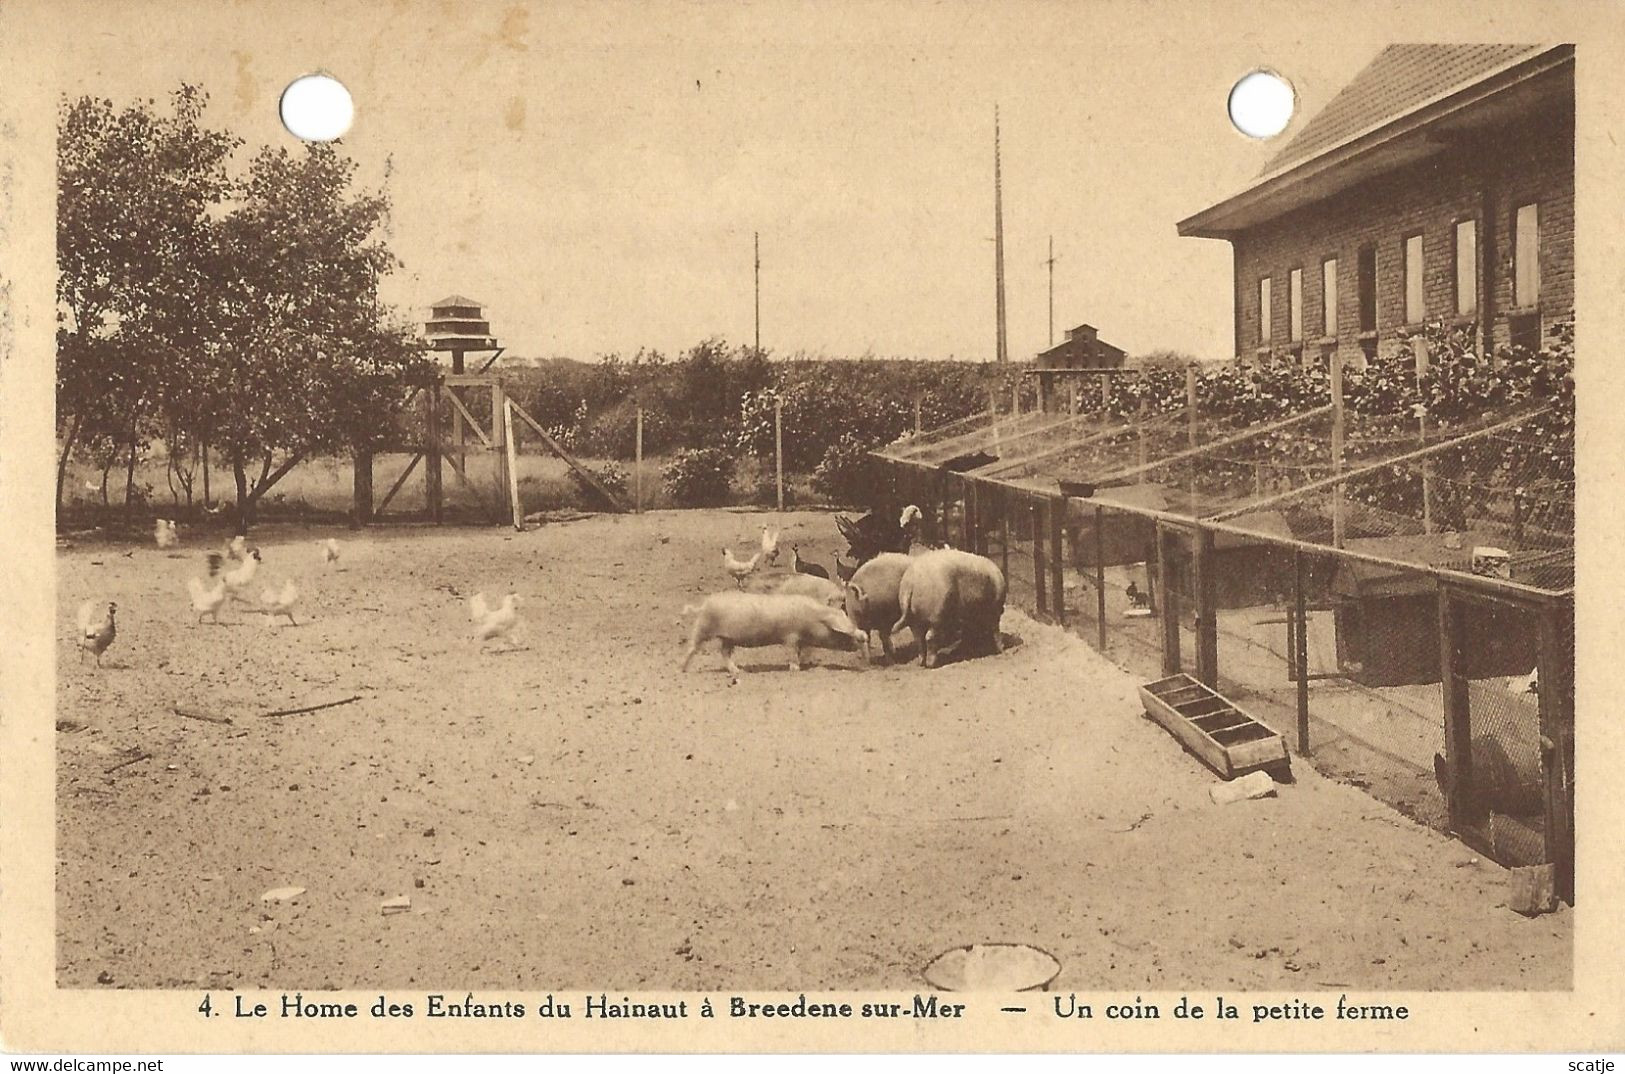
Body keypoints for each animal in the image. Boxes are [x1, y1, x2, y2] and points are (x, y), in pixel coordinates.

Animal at [679, 591, 871, 675]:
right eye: (845, 632)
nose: (863, 634)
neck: (813, 619)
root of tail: (703, 605)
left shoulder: (801, 640)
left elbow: (801, 652)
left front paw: (804, 664)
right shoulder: (790, 637)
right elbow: (792, 652)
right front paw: (795, 669)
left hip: (728, 638)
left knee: (724, 653)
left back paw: (738, 671)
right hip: (703, 628)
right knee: (691, 648)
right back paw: (683, 669)